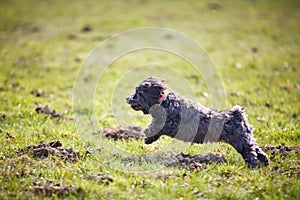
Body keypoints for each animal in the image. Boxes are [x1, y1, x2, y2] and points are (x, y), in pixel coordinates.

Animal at [126, 76, 270, 167]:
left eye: (138, 93)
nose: (127, 98)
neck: (163, 102)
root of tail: (238, 114)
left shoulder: (171, 123)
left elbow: (155, 127)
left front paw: (147, 135)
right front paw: (148, 138)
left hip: (240, 142)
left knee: (251, 153)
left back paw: (253, 166)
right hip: (247, 139)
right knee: (258, 150)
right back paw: (265, 163)